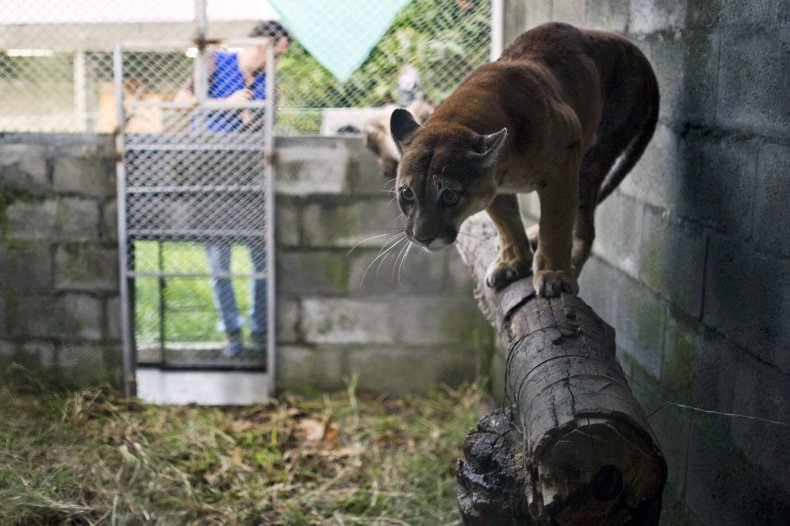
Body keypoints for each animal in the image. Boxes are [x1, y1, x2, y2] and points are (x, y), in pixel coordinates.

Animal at [392, 21, 660, 296]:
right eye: (407, 194)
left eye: (449, 195)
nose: (422, 238)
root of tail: (643, 59)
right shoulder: (492, 187)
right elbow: (506, 222)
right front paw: (512, 263)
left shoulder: (562, 167)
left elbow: (555, 224)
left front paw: (554, 275)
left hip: (593, 159)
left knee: (585, 225)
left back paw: (571, 266)